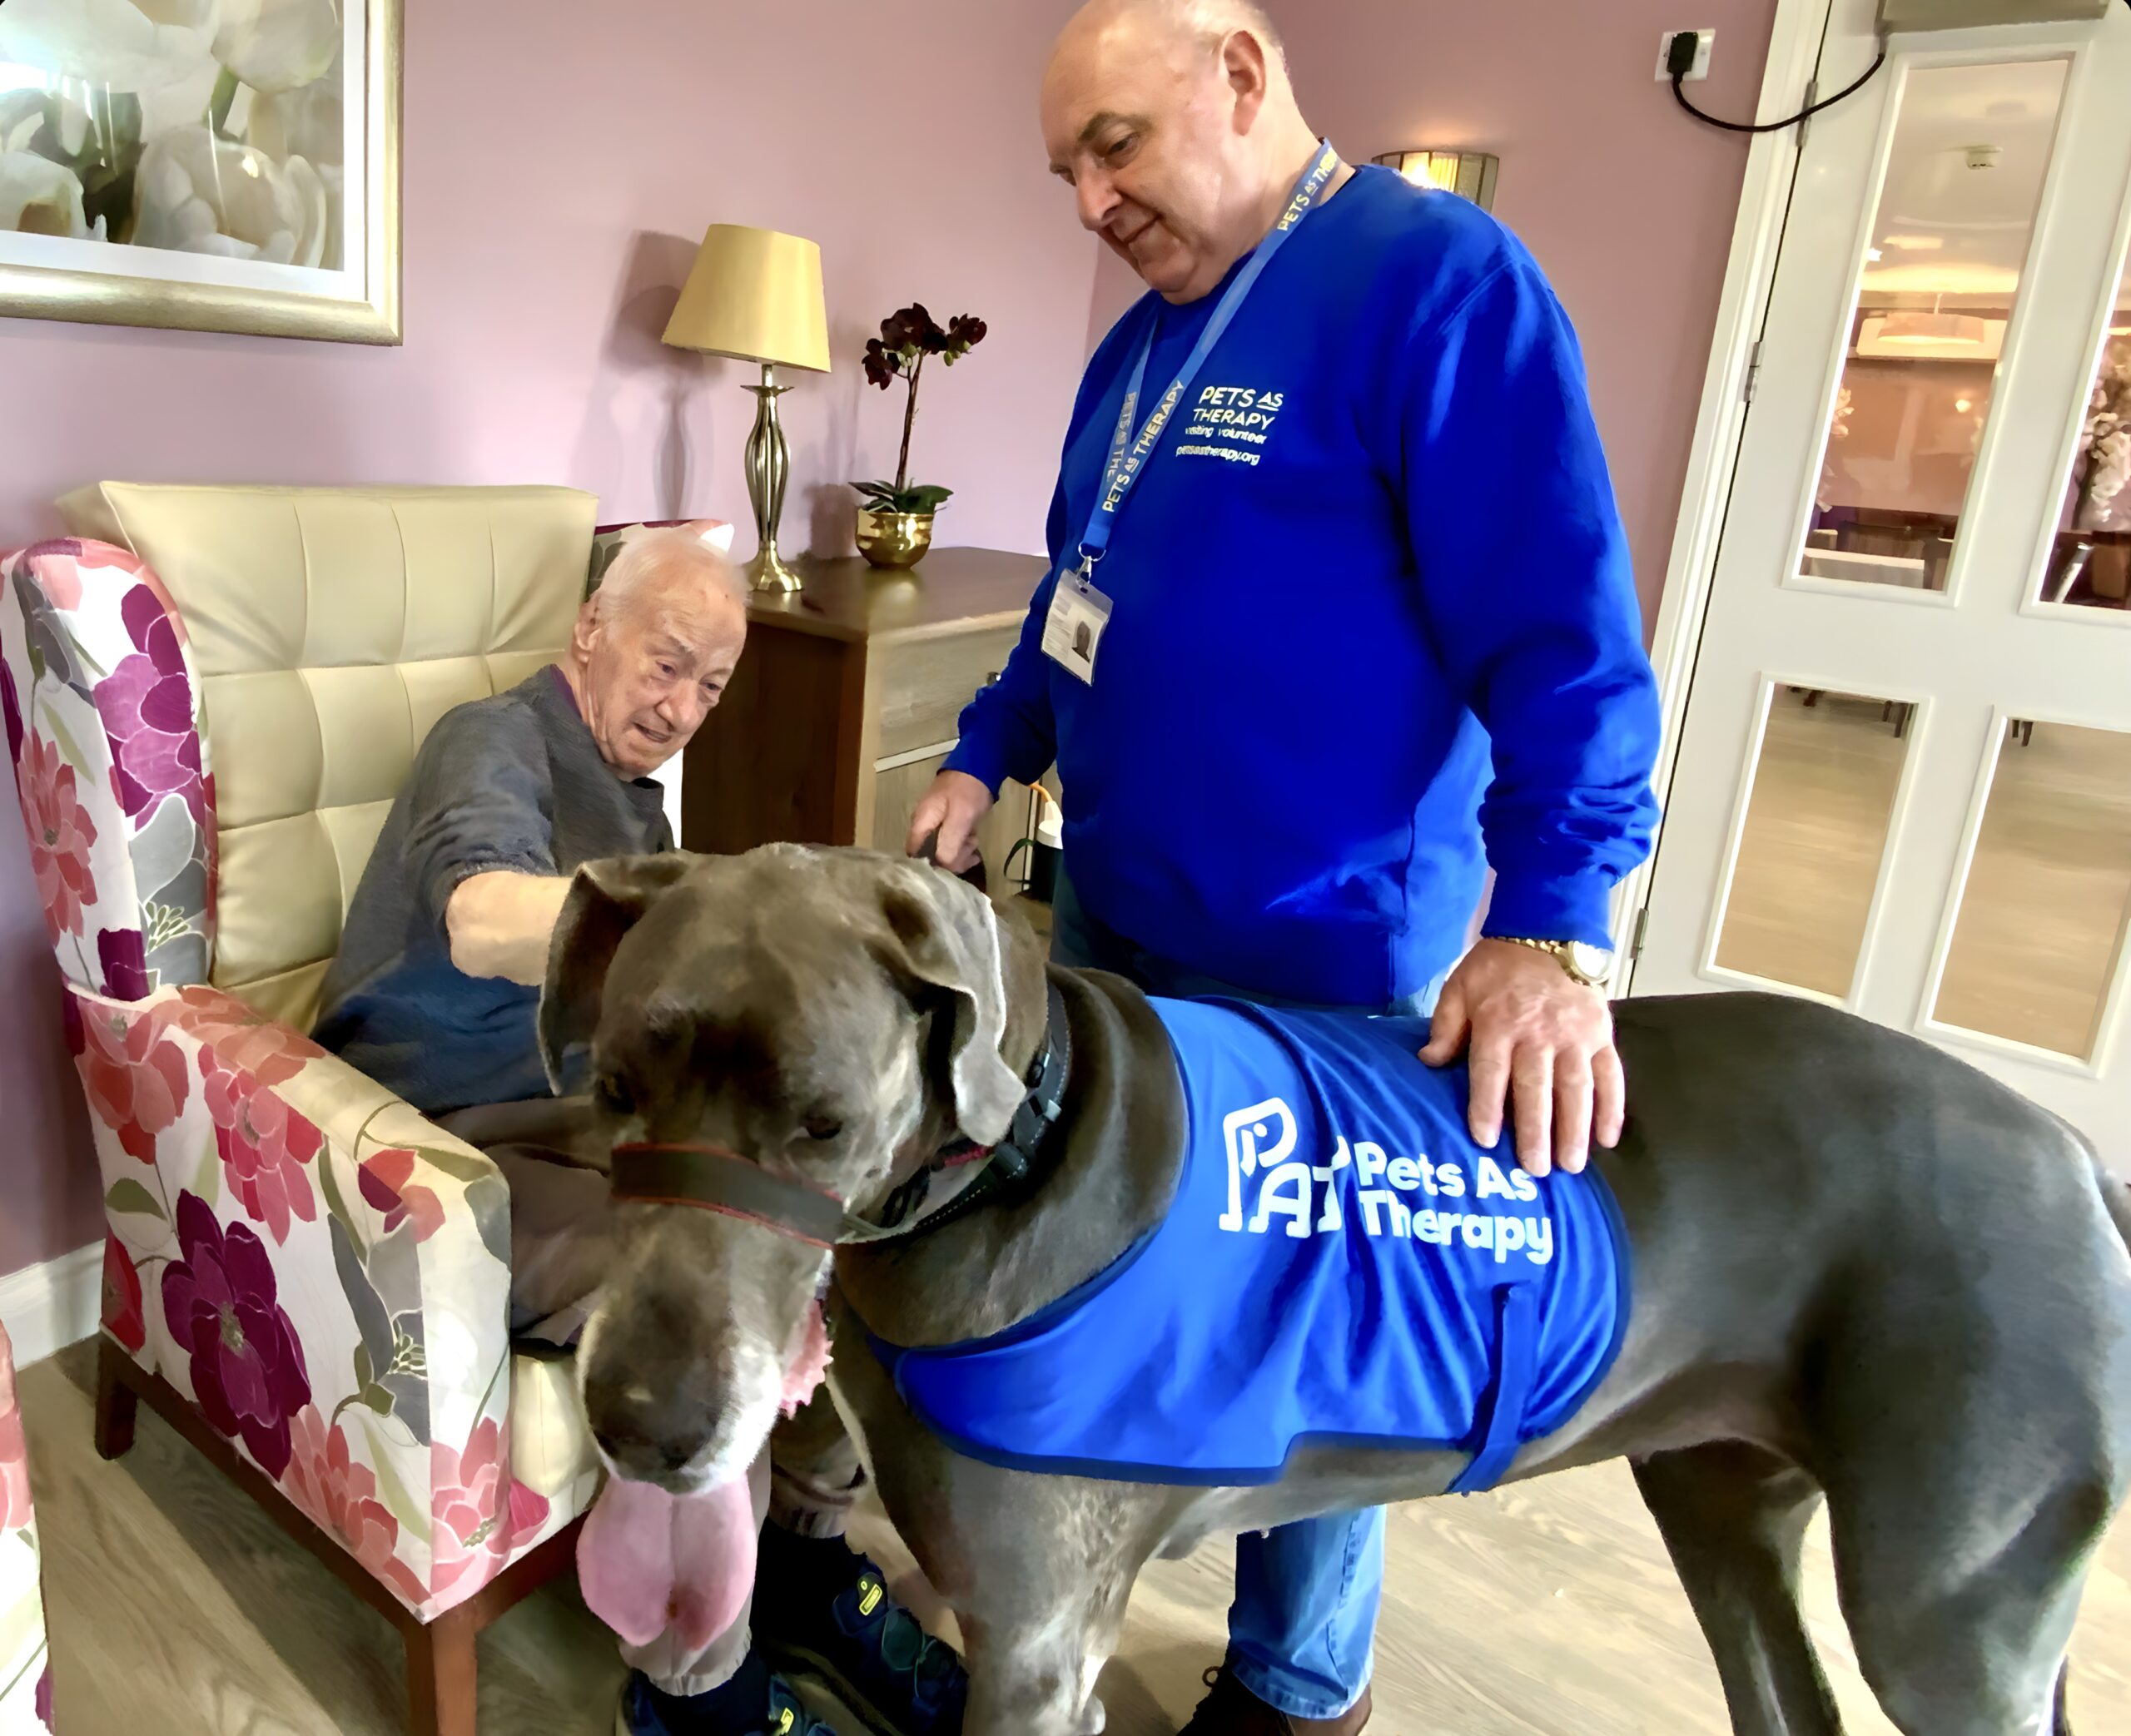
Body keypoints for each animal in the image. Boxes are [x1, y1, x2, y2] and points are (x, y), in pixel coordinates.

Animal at [543, 844, 2131, 1736]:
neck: (1018, 1155)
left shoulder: (1039, 1651)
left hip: (1949, 1620)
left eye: (821, 1124)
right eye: (613, 1086)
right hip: (1724, 1503)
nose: (643, 1423)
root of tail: (2078, 1161)